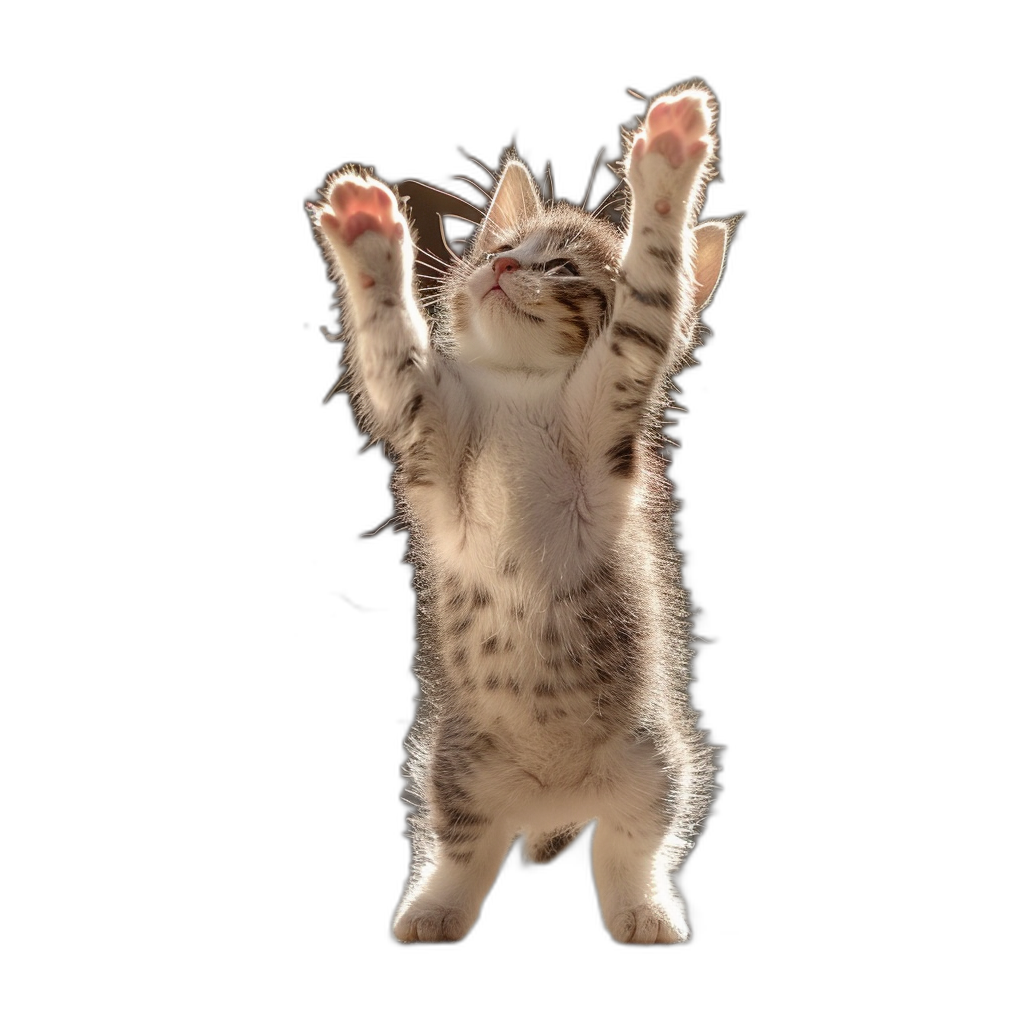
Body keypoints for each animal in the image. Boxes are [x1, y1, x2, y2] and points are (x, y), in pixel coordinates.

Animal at [311, 79, 737, 942]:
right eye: (491, 249)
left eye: (562, 264)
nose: (501, 264)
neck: (521, 388)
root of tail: (554, 801)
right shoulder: (424, 426)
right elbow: (389, 351)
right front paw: (369, 241)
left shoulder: (618, 386)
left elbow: (650, 292)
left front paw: (668, 164)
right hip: (456, 764)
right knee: (464, 844)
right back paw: (436, 905)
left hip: (655, 758)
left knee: (632, 843)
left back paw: (644, 907)